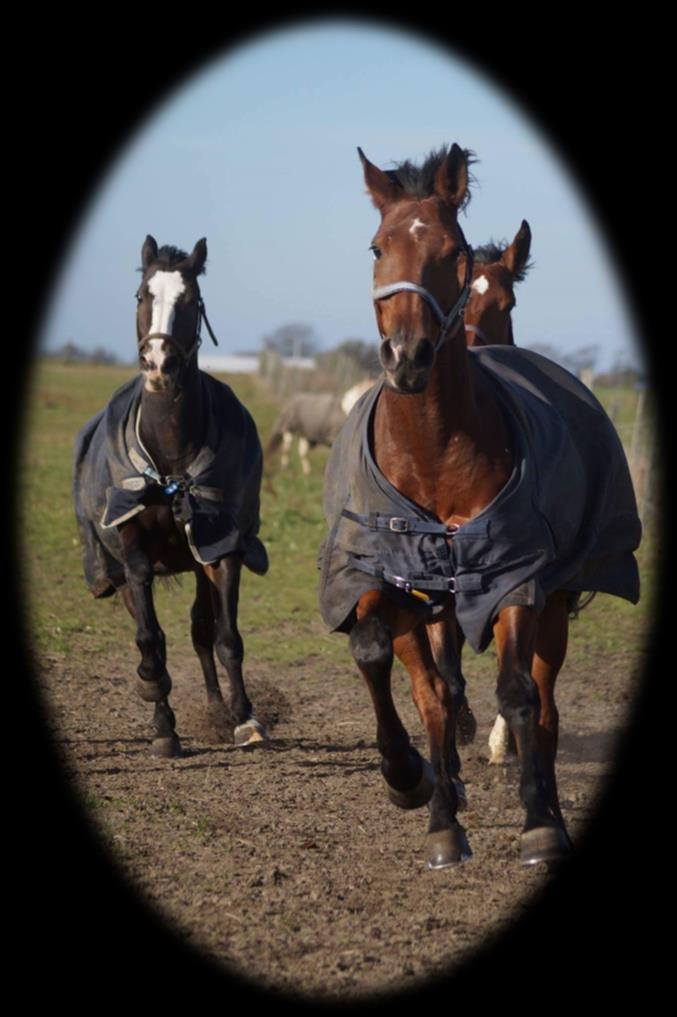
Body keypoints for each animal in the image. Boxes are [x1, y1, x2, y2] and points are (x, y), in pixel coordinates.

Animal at [75, 235, 270, 756]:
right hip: (117, 570)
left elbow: (226, 638)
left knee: (202, 631)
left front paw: (244, 718)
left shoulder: (219, 546)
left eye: (190, 301)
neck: (170, 459)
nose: (159, 365)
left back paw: (219, 708)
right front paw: (160, 712)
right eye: (143, 295)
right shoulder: (132, 549)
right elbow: (150, 638)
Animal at [319, 145, 642, 866]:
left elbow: (517, 695)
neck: (433, 454)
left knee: (542, 705)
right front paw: (421, 792)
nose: (406, 357)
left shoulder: (513, 581)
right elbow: (403, 677)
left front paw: (538, 820)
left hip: (553, 603)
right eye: (377, 247)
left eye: (453, 252)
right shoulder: (394, 585)